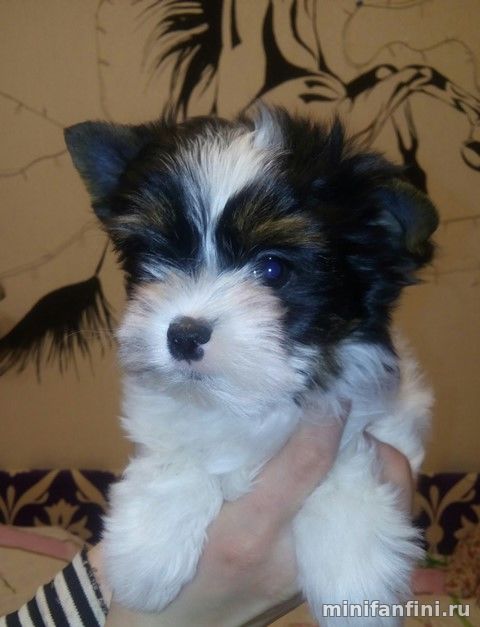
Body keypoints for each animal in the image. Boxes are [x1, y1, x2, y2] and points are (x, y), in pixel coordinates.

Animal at [65, 107, 438, 625]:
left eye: (272, 269)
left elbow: (346, 465)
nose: (183, 334)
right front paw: (148, 555)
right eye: (156, 255)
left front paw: (354, 580)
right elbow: (178, 452)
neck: (245, 400)